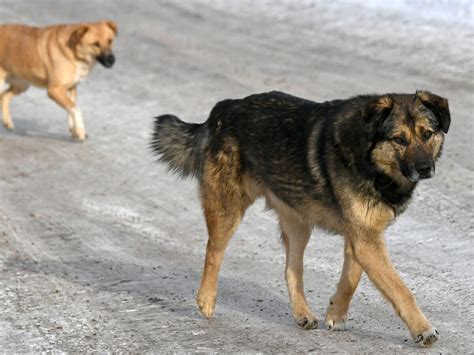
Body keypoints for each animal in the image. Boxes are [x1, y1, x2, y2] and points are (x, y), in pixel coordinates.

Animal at [150, 89, 450, 348]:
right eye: (399, 139)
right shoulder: (366, 240)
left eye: (427, 134)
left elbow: (351, 279)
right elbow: (400, 289)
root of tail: (222, 109)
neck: (370, 158)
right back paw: (206, 301)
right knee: (213, 251)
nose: (425, 168)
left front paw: (336, 314)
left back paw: (303, 313)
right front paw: (423, 329)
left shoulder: (362, 236)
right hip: (228, 209)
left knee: (291, 269)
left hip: (298, 223)